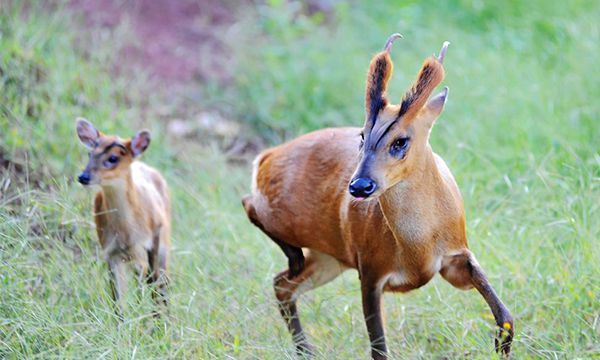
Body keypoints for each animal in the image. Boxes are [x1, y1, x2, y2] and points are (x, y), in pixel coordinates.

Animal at [76, 119, 171, 316]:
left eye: (113, 158)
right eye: (90, 153)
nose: (83, 177)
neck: (126, 232)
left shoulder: (149, 242)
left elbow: (149, 286)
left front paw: (150, 320)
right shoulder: (111, 251)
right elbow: (118, 299)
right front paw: (123, 321)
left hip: (162, 245)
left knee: (160, 283)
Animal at [241, 34, 512, 358]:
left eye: (401, 141)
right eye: (362, 135)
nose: (359, 186)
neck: (417, 247)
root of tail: (266, 156)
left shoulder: (456, 256)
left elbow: (504, 313)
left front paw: (501, 346)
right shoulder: (370, 271)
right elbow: (378, 348)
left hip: (328, 258)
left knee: (282, 284)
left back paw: (306, 348)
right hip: (291, 223)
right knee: (250, 208)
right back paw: (293, 261)